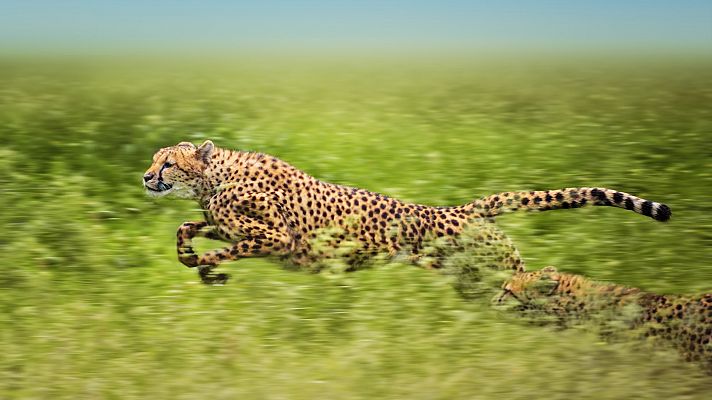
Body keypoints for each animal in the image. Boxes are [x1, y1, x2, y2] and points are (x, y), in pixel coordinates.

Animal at [143, 140, 671, 284]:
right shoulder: (223, 223)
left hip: (496, 269)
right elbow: (185, 227)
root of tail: (457, 210)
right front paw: (190, 256)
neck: (216, 176)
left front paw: (207, 268)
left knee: (534, 279)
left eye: (167, 162)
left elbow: (223, 248)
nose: (146, 177)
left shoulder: (277, 239)